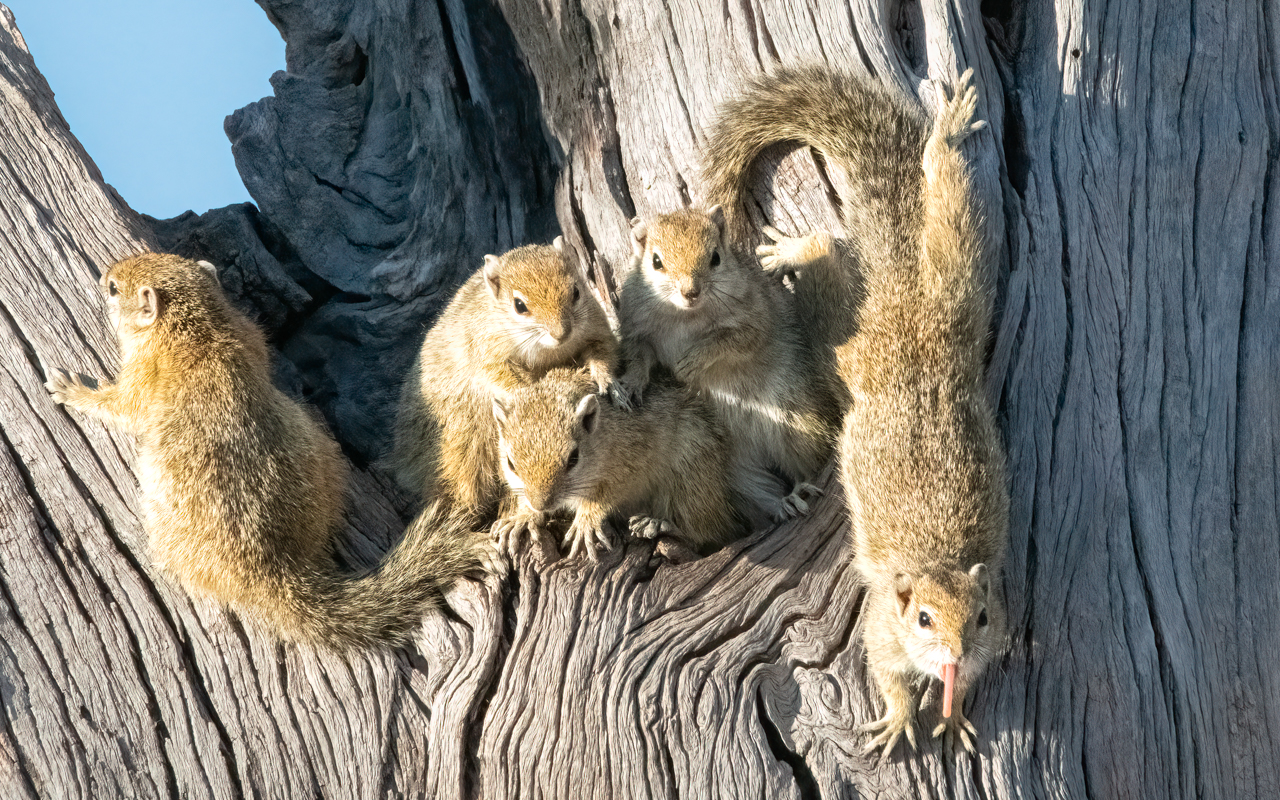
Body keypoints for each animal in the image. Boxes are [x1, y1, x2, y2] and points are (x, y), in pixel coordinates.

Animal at [44, 253, 489, 648]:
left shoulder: (142, 378)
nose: (105, 273)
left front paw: (71, 390)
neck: (201, 328)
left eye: (115, 289)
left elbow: (119, 407)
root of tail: (275, 573)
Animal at [388, 237, 616, 515]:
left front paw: (609, 382)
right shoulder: (485, 349)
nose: (561, 333)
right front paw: (526, 393)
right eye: (519, 305)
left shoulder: (595, 326)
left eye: (576, 292)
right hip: (464, 442)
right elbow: (499, 375)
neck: (548, 351)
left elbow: (603, 350)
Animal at [490, 367, 744, 562]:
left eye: (574, 458)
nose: (541, 505)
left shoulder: (631, 462)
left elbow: (606, 494)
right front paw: (524, 517)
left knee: (706, 531)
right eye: (510, 463)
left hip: (693, 475)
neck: (604, 430)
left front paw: (586, 521)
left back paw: (660, 524)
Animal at [613, 207, 843, 524]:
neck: (684, 316)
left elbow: (728, 343)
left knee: (811, 461)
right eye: (656, 261)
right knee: (759, 492)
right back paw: (782, 504)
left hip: (797, 424)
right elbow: (639, 358)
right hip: (735, 471)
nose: (691, 291)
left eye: (716, 257)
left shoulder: (753, 318)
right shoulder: (638, 330)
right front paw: (631, 385)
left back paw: (799, 493)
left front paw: (690, 364)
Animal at [702, 67, 1008, 757]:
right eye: (922, 618)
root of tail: (907, 310)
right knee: (834, 264)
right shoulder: (880, 628)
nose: (955, 655)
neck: (935, 562)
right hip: (842, 345)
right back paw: (801, 245)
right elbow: (885, 671)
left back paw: (948, 131)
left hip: (958, 290)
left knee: (947, 207)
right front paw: (898, 717)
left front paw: (952, 712)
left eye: (981, 616)